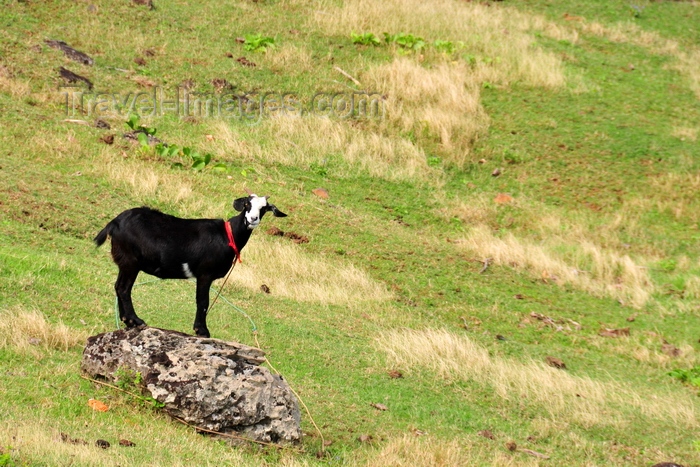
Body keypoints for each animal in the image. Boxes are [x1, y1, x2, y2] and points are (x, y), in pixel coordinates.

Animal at [94, 194, 286, 336]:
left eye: (264, 208)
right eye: (247, 204)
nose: (253, 219)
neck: (228, 235)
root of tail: (115, 222)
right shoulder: (205, 273)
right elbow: (203, 301)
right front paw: (202, 331)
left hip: (125, 262)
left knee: (119, 286)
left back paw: (127, 321)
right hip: (130, 261)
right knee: (124, 288)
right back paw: (135, 320)